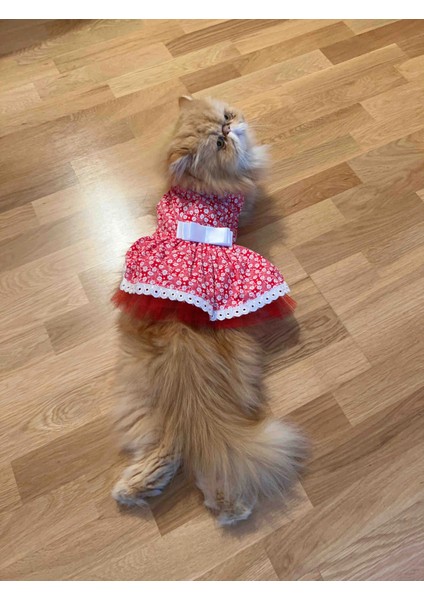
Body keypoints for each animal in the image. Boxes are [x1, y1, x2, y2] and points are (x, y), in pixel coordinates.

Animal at [111, 96, 308, 525]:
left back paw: (134, 490)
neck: (202, 182)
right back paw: (233, 508)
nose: (229, 129)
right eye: (218, 143)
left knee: (174, 452)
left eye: (227, 117)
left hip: (146, 400)